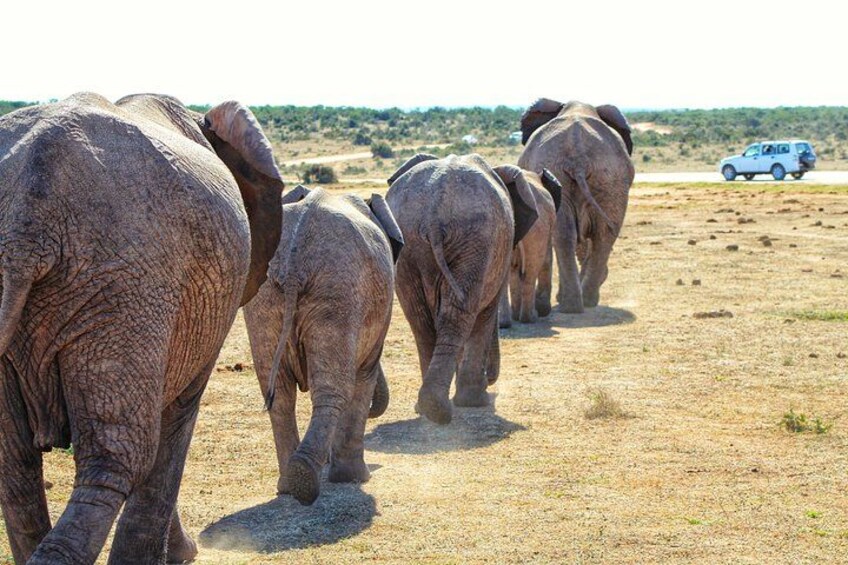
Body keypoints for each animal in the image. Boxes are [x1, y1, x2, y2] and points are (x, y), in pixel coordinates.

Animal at [243, 185, 403, 506]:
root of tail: (294, 259)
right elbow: (364, 375)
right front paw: (355, 478)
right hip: (338, 289)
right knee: (335, 390)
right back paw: (310, 480)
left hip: (267, 296)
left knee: (279, 393)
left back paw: (291, 484)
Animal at [386, 154, 539, 425]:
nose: (491, 379)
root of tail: (434, 211)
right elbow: (486, 313)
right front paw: (476, 402)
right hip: (475, 239)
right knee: (459, 314)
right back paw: (443, 410)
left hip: (411, 244)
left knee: (421, 319)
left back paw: (427, 408)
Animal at [497, 167, 569, 327]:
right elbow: (545, 260)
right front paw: (542, 311)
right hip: (538, 226)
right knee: (532, 268)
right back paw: (529, 318)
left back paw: (507, 322)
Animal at [518, 99, 635, 312]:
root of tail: (578, 158)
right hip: (609, 180)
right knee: (600, 235)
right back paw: (582, 303)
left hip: (597, 178)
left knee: (572, 235)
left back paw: (574, 304)